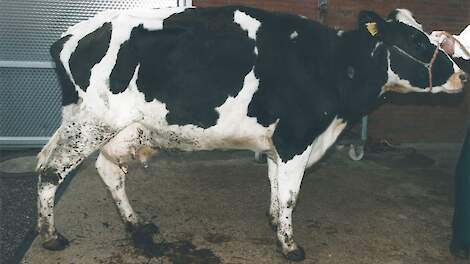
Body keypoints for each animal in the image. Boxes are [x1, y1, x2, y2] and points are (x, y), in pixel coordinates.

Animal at [37, 5, 466, 260]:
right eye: (416, 41)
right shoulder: (295, 138)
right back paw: (51, 237)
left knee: (101, 170)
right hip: (94, 123)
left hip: (105, 126)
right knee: (50, 172)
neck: (330, 64)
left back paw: (135, 224)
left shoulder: (278, 142)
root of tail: (71, 34)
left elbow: (276, 185)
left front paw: (275, 223)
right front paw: (290, 246)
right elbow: (291, 194)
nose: (462, 74)